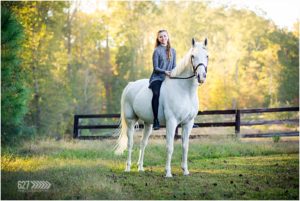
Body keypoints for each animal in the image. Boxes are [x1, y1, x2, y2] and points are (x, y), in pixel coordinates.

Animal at [115, 38, 209, 177]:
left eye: (207, 56)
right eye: (193, 56)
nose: (201, 76)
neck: (185, 91)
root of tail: (130, 85)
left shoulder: (188, 123)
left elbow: (185, 147)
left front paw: (185, 170)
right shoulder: (172, 122)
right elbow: (170, 147)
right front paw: (168, 172)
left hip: (148, 123)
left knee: (143, 143)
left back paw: (140, 167)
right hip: (131, 121)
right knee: (130, 143)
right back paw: (127, 168)